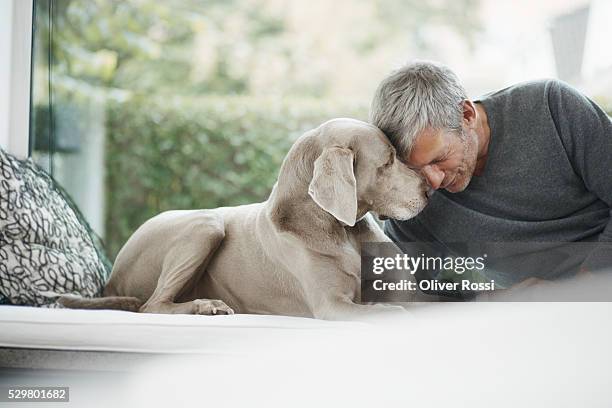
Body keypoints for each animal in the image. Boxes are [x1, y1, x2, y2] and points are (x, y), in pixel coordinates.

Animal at [59, 118, 428, 318]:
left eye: (398, 154)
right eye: (388, 161)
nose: (428, 189)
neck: (340, 230)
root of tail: (112, 279)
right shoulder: (331, 305)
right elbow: (381, 312)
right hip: (205, 224)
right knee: (151, 305)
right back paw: (205, 306)